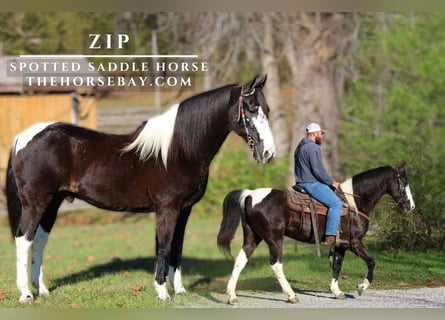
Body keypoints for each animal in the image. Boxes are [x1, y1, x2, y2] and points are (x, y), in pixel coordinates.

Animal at [6, 75, 276, 302]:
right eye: (251, 109)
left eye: (267, 110)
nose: (268, 153)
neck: (178, 150)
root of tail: (24, 137)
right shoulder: (167, 208)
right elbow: (164, 247)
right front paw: (162, 292)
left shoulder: (184, 210)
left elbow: (177, 248)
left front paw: (179, 289)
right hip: (36, 201)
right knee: (23, 238)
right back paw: (26, 294)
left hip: (53, 201)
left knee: (39, 240)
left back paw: (42, 290)